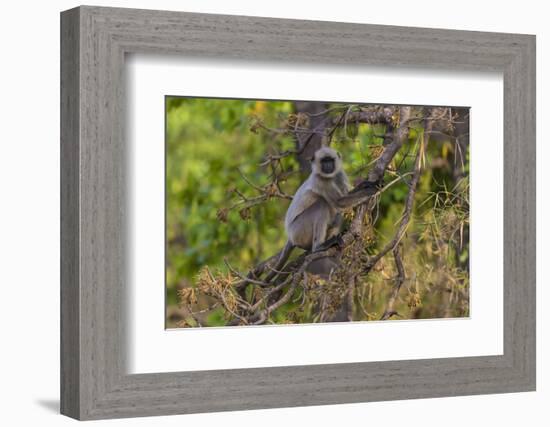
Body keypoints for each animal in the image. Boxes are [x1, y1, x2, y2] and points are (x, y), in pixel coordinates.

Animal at [268, 145, 354, 282]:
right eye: (324, 161)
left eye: (330, 160)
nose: (328, 166)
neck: (330, 177)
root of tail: (290, 235)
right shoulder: (320, 180)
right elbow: (340, 202)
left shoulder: (340, 174)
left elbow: (344, 201)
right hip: (299, 230)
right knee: (322, 204)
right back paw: (318, 247)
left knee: (335, 213)